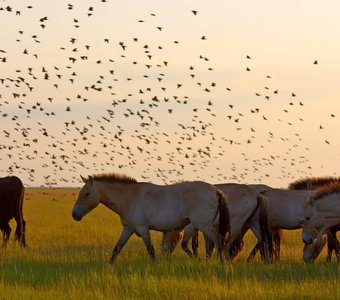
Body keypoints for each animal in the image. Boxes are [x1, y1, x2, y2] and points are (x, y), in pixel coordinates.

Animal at [71, 173, 228, 262]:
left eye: (86, 194)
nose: (74, 214)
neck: (130, 198)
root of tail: (215, 191)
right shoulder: (128, 229)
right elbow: (117, 248)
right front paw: (110, 266)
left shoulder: (143, 229)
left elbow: (150, 250)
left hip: (204, 226)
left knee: (218, 242)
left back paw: (221, 263)